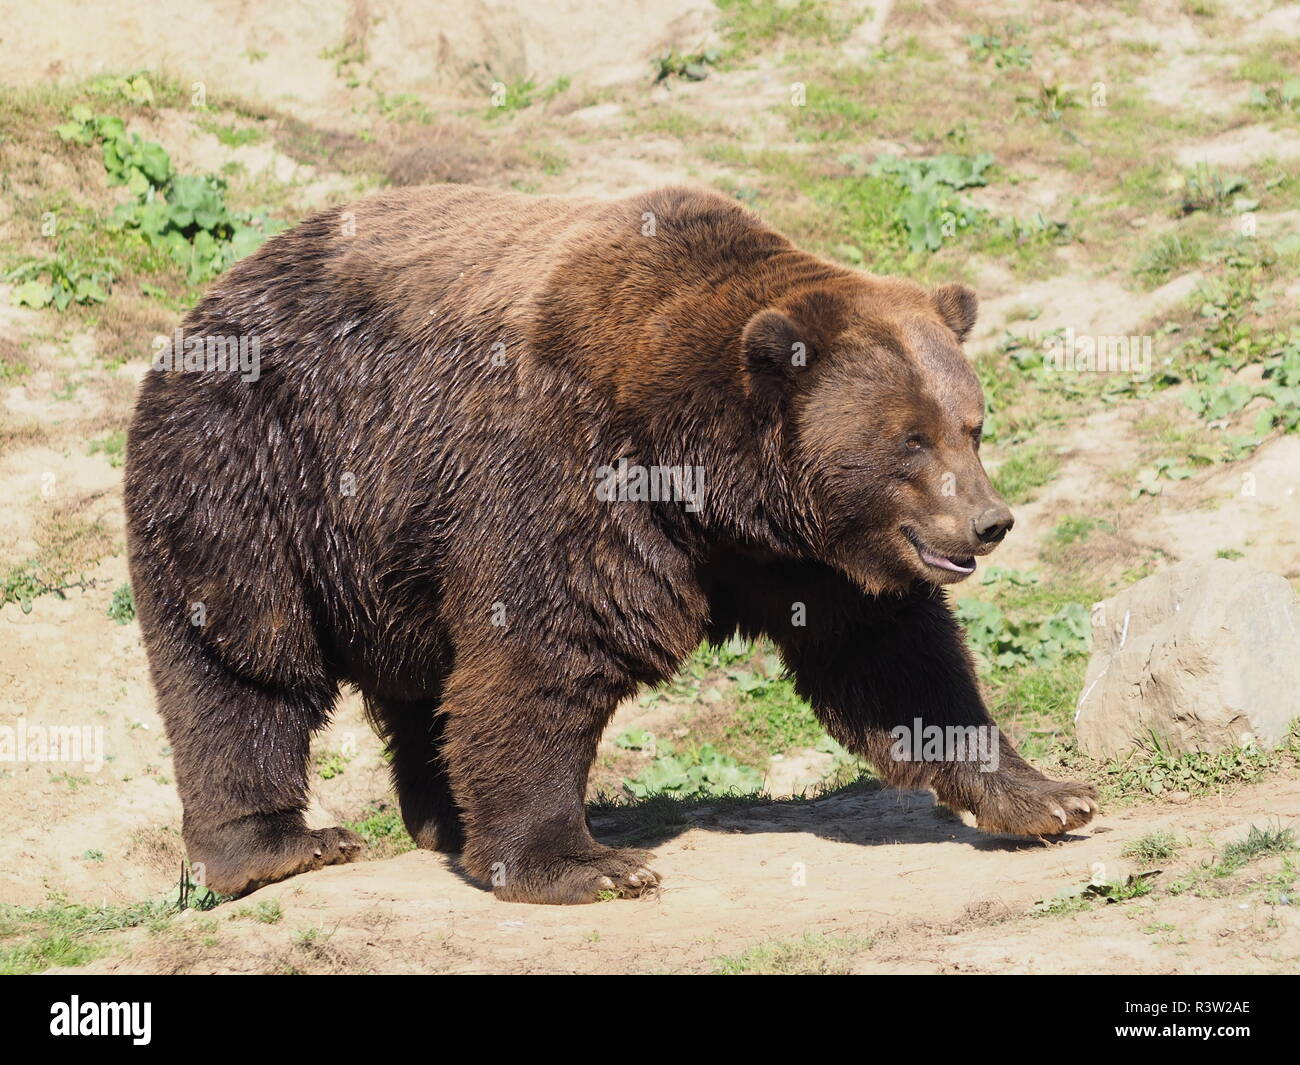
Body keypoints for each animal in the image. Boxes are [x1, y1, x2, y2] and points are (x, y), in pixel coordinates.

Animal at [124, 187, 1097, 905]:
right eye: (911, 441)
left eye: (971, 424)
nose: (989, 521)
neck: (709, 480)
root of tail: (201, 306)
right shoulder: (567, 476)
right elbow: (544, 652)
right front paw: (586, 863)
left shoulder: (808, 559)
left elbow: (897, 660)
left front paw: (1047, 795)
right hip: (256, 478)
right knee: (245, 665)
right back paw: (281, 844)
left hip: (390, 552)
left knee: (417, 685)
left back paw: (444, 820)